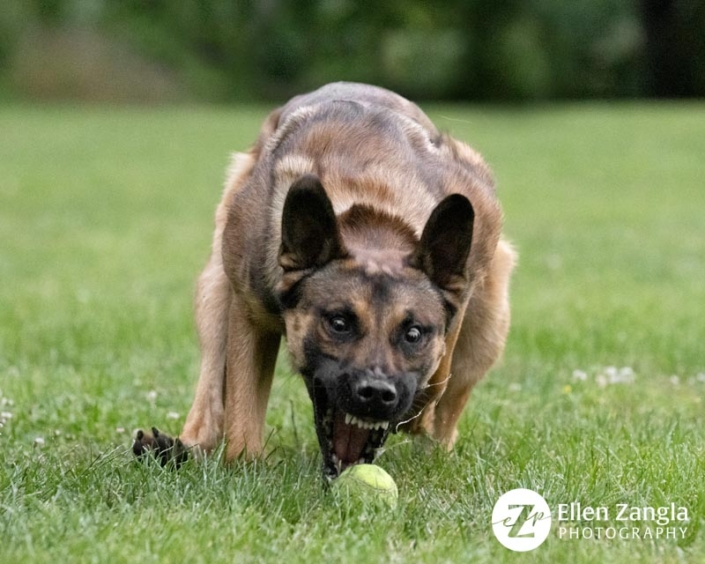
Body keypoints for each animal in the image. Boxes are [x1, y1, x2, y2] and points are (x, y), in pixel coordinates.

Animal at [133, 82, 516, 476]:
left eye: (413, 334)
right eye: (339, 323)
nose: (377, 393)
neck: (371, 215)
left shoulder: (465, 283)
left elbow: (439, 374)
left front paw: (417, 414)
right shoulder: (250, 312)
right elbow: (242, 410)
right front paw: (244, 467)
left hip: (490, 318)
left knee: (450, 407)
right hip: (214, 289)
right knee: (210, 387)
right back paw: (179, 447)